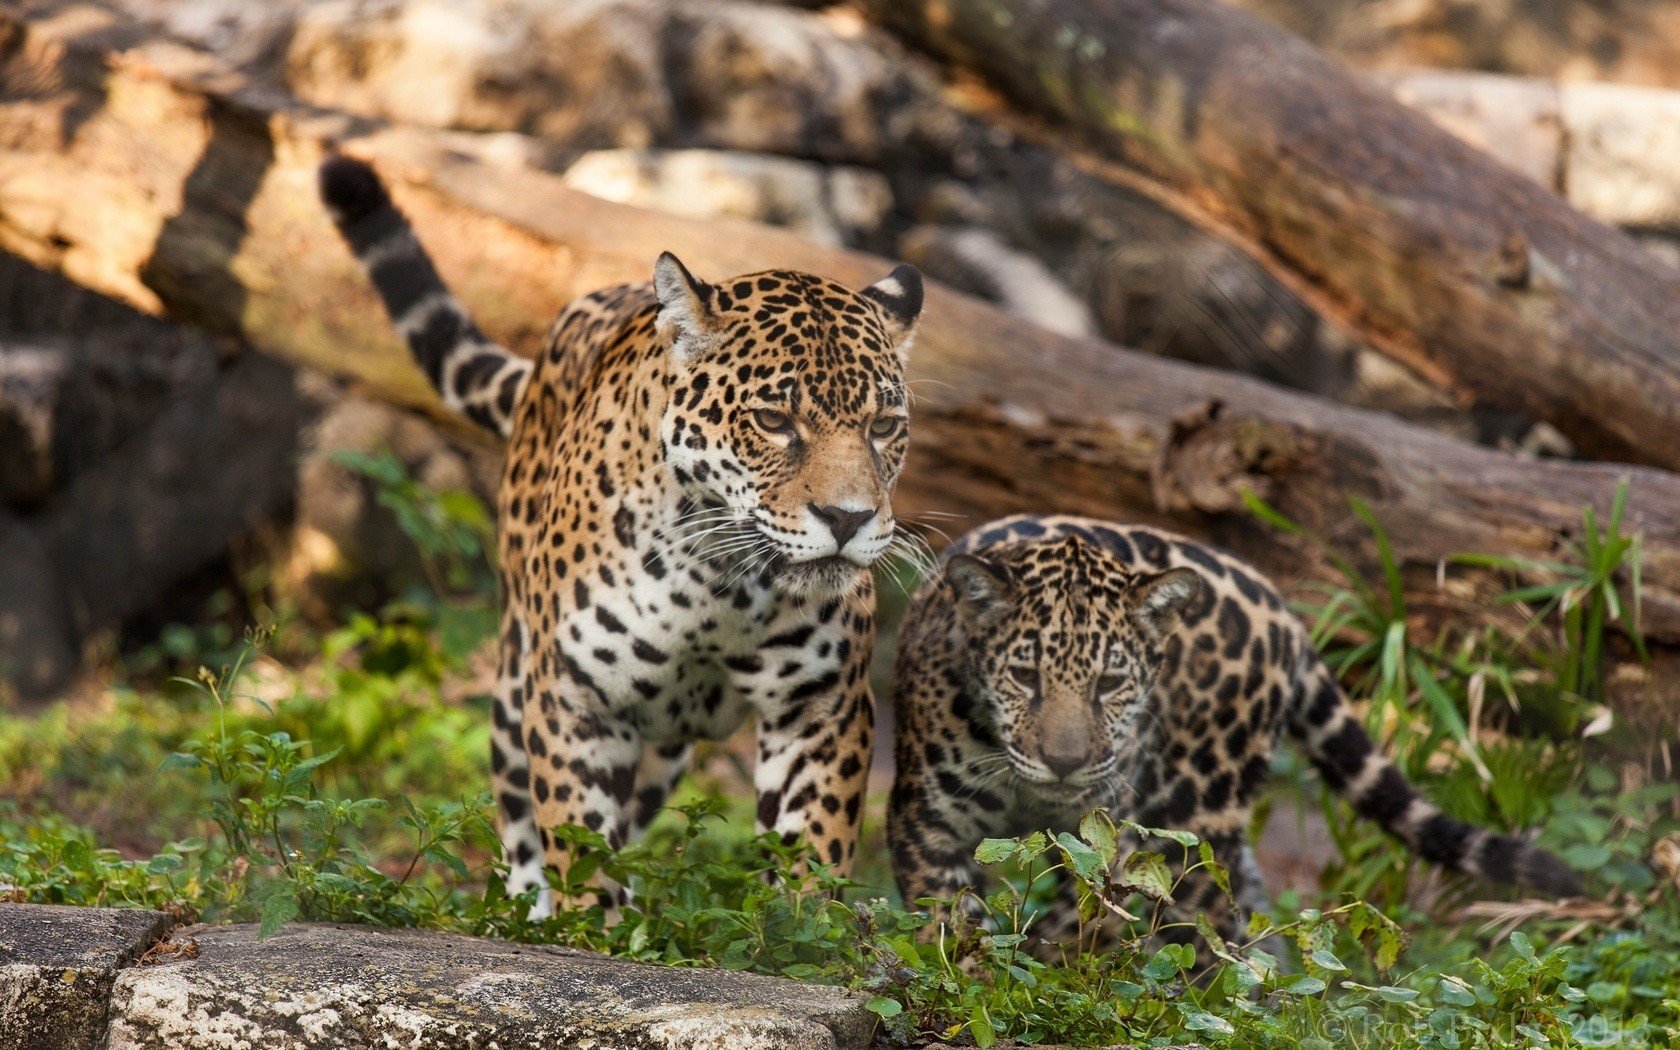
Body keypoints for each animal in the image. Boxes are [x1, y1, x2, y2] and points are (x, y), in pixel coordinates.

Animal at [319, 155, 924, 917]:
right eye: (773, 420)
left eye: (884, 426)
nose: (847, 520)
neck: (718, 579)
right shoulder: (575, 699)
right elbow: (578, 842)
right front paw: (592, 927)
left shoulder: (821, 706)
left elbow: (811, 849)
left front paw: (806, 925)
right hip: (515, 678)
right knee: (520, 818)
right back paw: (529, 909)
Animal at [889, 513, 1582, 952]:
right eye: (1025, 675)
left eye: (1109, 683)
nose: (1065, 762)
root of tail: (1285, 615)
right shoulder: (926, 821)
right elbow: (948, 924)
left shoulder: (1114, 837)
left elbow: (1090, 919)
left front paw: (1045, 968)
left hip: (1193, 813)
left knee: (1210, 926)